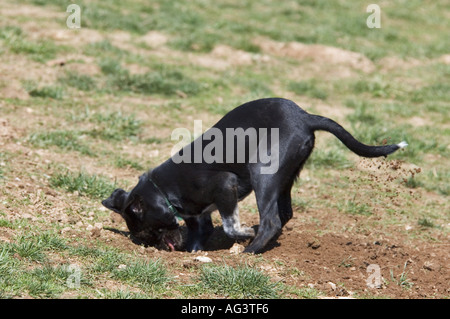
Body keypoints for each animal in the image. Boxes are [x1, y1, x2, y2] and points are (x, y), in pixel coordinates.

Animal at [102, 99, 408, 254]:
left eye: (149, 231)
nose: (163, 247)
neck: (164, 190)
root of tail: (306, 116)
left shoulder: (225, 186)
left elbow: (229, 225)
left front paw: (243, 234)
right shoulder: (197, 212)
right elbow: (201, 229)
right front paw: (194, 249)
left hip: (264, 173)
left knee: (272, 220)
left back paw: (251, 250)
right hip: (284, 178)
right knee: (283, 215)